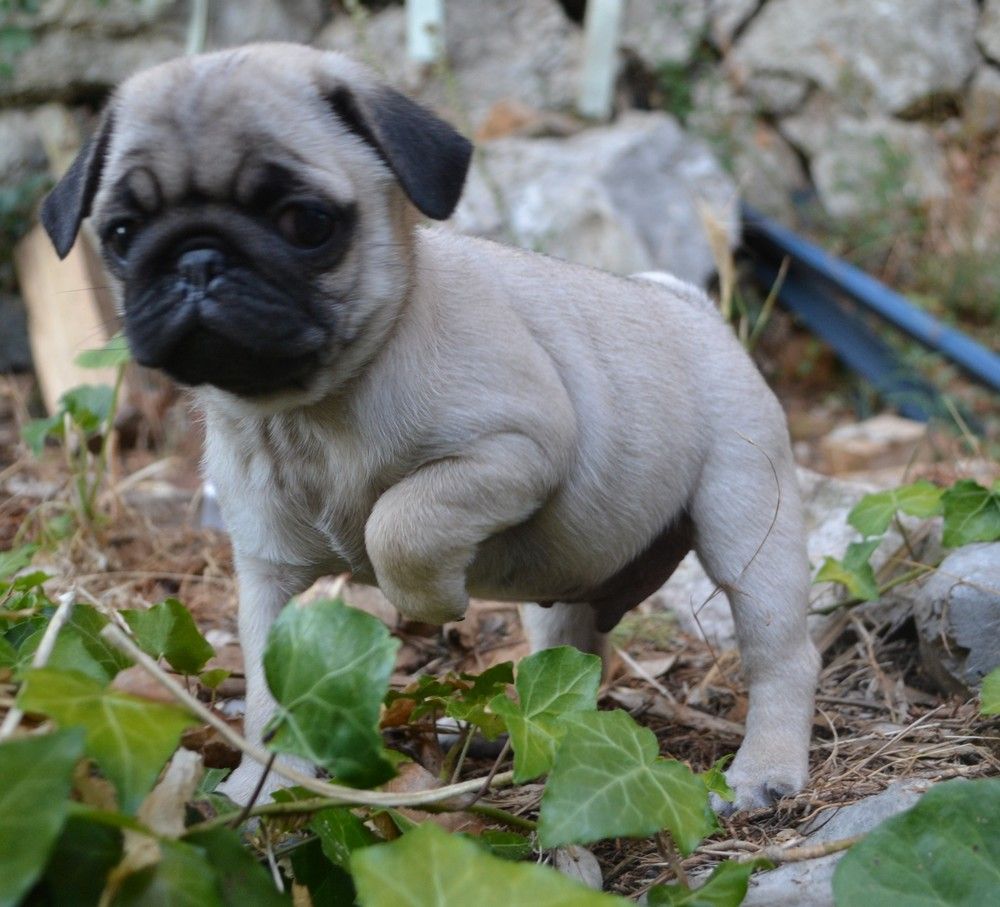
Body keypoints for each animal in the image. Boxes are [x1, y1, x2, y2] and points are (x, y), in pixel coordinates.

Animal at [41, 42, 820, 812]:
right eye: (121, 234)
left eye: (306, 223)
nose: (197, 258)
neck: (305, 413)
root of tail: (697, 310)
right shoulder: (267, 575)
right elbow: (268, 693)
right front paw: (265, 788)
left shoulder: (516, 451)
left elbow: (400, 522)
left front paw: (430, 600)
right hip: (572, 594)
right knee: (574, 652)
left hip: (747, 524)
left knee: (782, 651)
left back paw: (763, 771)